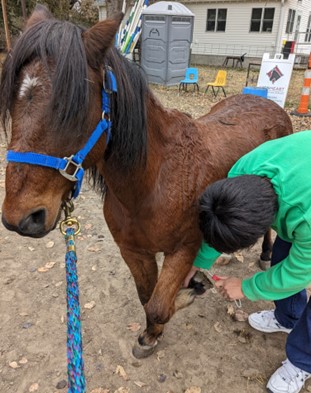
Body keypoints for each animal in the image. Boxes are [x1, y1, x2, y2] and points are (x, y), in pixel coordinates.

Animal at [0, 4, 292, 356]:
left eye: (72, 109)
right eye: (12, 101)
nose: (21, 218)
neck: (153, 184)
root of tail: (269, 104)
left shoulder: (183, 249)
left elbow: (160, 304)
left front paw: (186, 295)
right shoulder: (133, 251)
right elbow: (147, 297)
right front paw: (154, 331)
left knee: (271, 230)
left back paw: (263, 254)